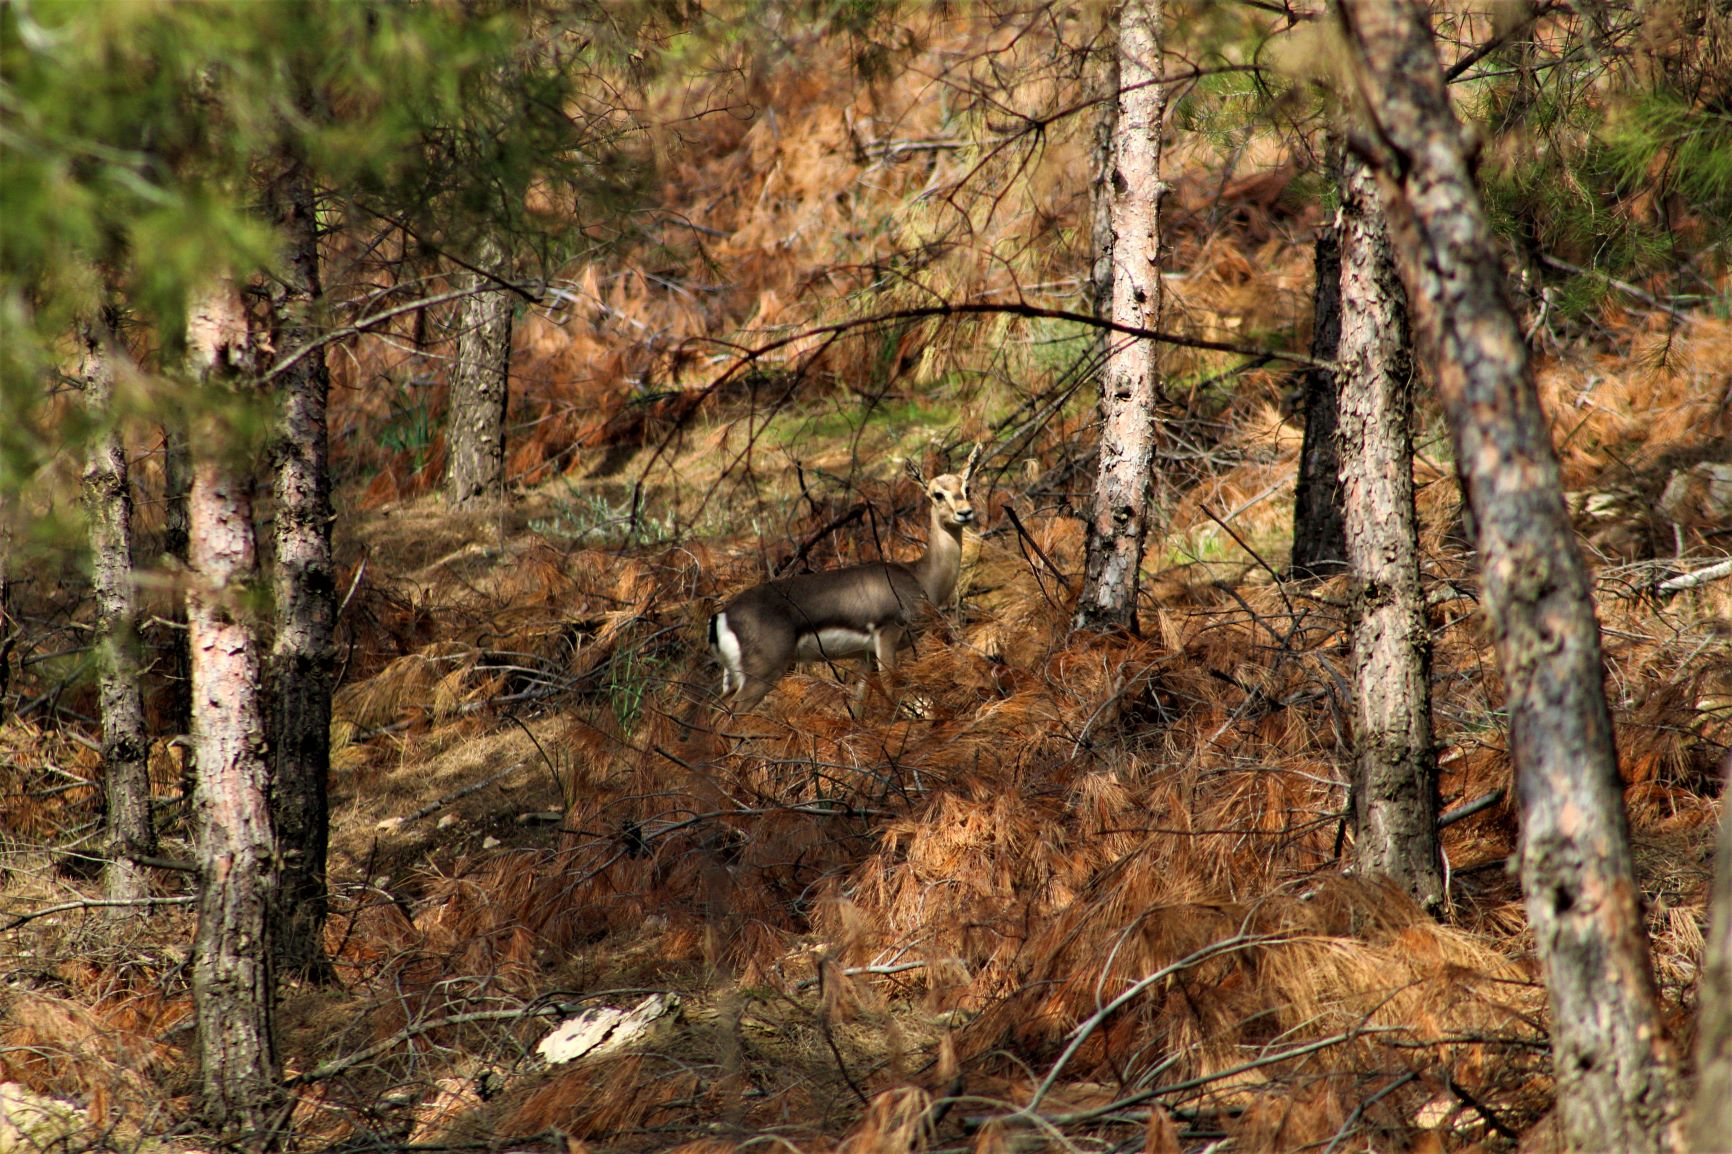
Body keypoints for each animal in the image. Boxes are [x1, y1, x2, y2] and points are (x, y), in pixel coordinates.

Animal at [708, 445, 983, 713]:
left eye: (966, 487)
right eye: (937, 494)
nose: (965, 513)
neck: (920, 576)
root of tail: (719, 618)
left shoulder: (865, 656)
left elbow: (858, 707)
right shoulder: (887, 635)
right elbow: (890, 696)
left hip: (736, 678)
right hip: (762, 673)